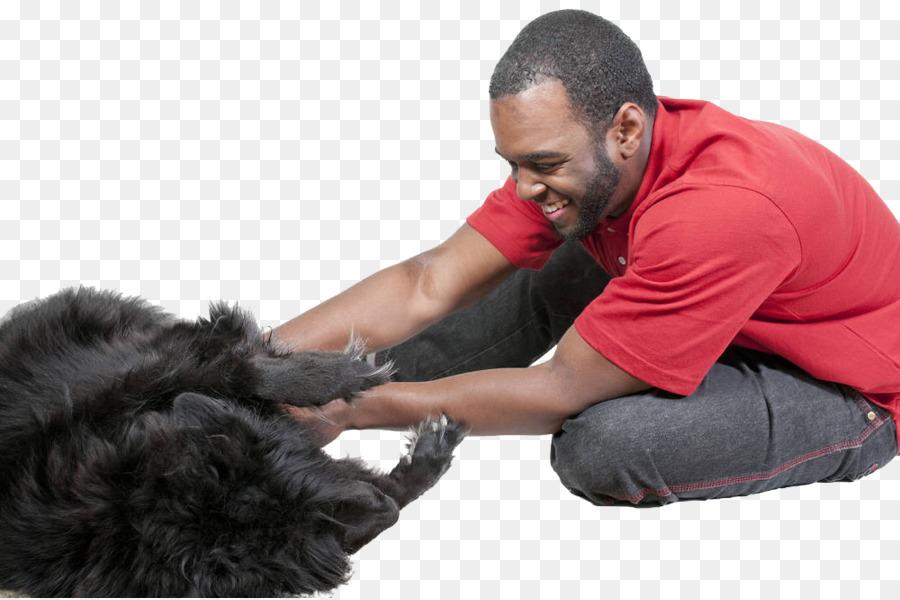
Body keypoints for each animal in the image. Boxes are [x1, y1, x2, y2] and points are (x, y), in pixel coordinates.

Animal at [0, 288, 464, 596]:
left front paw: (341, 375)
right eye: (301, 546)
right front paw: (423, 461)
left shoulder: (137, 370)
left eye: (288, 467)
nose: (384, 512)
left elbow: (240, 369)